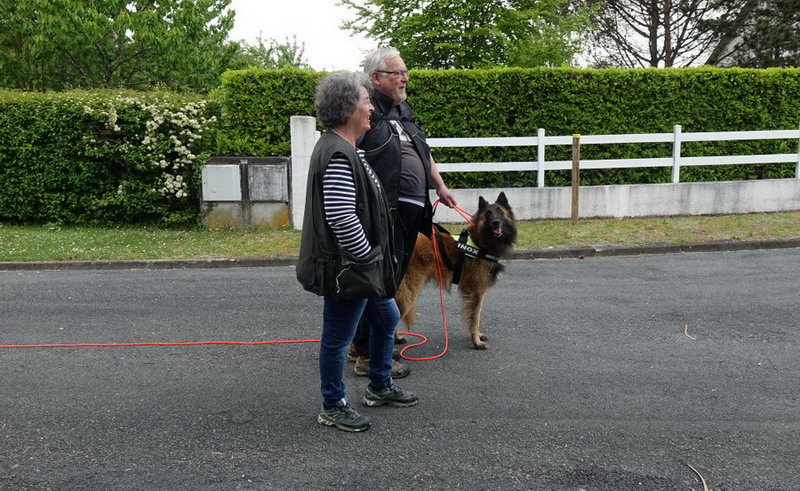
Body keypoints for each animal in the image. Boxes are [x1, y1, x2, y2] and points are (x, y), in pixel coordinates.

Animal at [395, 192, 517, 350]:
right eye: (488, 214)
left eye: (500, 212)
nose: (496, 222)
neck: (480, 243)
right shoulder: (476, 291)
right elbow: (475, 317)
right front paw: (476, 341)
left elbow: (477, 315)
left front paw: (478, 335)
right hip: (409, 293)